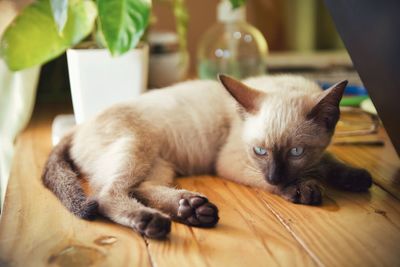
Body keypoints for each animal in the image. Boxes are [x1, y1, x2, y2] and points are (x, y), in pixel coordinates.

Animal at [43, 74, 372, 240]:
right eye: (260, 151)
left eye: (296, 151)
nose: (276, 175)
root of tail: (77, 126)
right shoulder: (232, 161)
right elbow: (282, 182)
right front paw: (302, 188)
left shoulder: (313, 157)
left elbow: (328, 161)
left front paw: (355, 177)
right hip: (137, 147)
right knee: (106, 194)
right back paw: (155, 222)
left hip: (159, 163)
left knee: (140, 187)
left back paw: (191, 209)